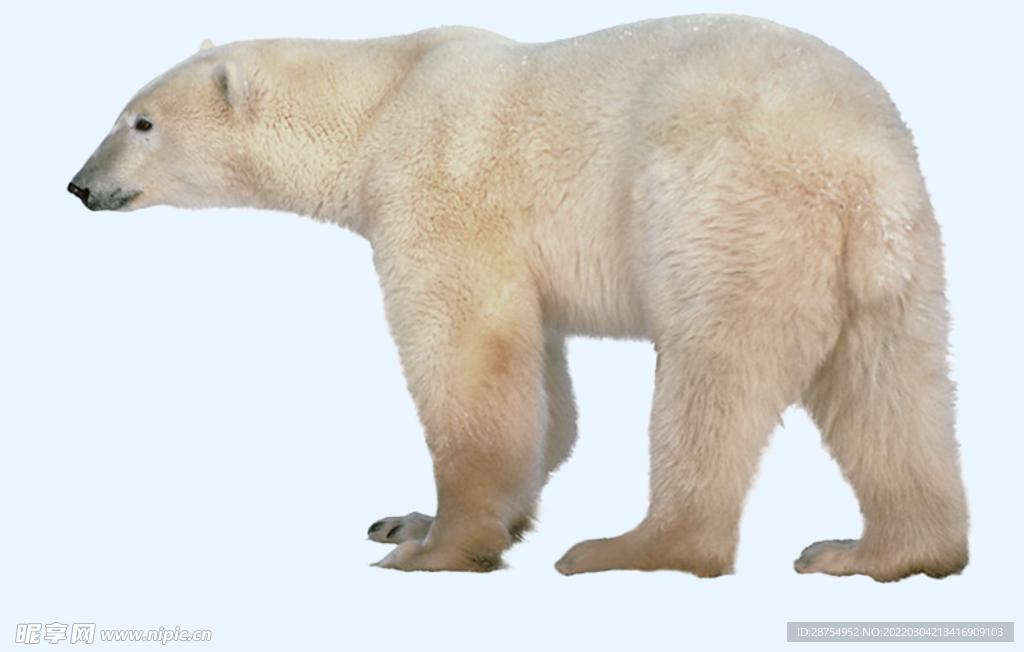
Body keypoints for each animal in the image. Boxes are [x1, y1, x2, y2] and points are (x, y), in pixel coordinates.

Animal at [68, 14, 968, 580]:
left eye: (140, 122)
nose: (79, 184)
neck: (382, 98)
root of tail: (861, 155)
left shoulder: (440, 187)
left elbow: (470, 356)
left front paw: (433, 548)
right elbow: (544, 390)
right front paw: (411, 520)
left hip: (728, 208)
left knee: (714, 377)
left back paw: (630, 547)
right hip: (892, 258)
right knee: (892, 393)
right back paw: (880, 552)